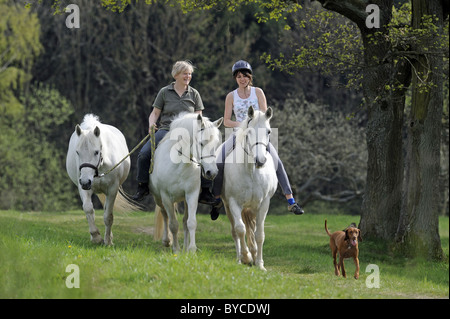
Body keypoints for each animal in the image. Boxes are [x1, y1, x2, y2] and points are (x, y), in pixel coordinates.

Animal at [65, 114, 137, 246]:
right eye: (77, 152)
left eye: (96, 152)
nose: (85, 181)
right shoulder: (83, 187)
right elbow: (88, 209)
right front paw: (96, 237)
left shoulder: (112, 190)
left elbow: (108, 216)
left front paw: (108, 241)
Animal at [153, 114, 223, 254]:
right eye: (201, 143)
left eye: (216, 144)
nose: (212, 172)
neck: (179, 164)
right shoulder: (166, 197)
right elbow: (173, 224)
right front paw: (176, 250)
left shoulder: (192, 195)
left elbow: (191, 222)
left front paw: (191, 249)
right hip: (158, 198)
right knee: (164, 214)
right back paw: (167, 241)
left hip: (184, 199)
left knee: (185, 221)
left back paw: (185, 247)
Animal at [221, 106, 278, 272]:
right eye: (249, 132)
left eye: (268, 131)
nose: (261, 161)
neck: (251, 171)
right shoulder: (234, 203)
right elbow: (240, 229)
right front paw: (246, 258)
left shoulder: (264, 204)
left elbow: (259, 234)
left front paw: (260, 263)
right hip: (228, 206)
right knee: (235, 231)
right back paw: (240, 258)